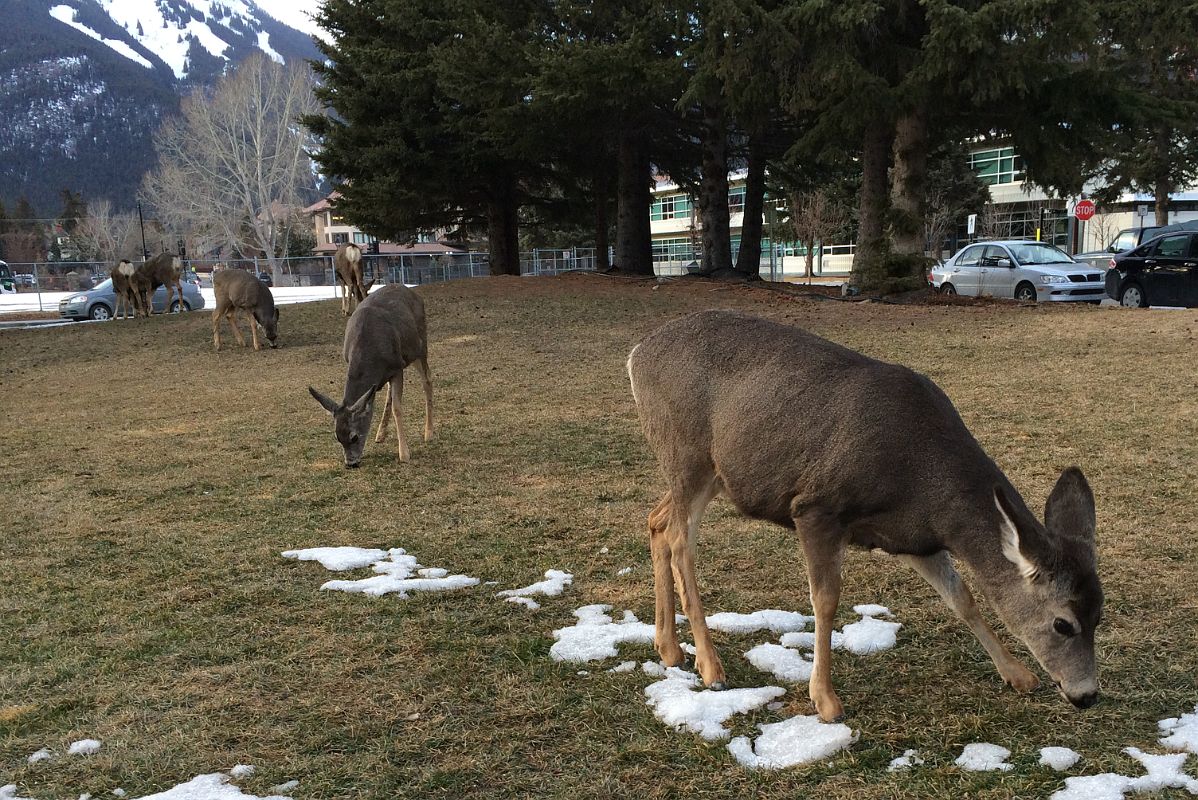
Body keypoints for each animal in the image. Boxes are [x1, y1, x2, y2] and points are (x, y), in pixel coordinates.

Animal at [306, 282, 433, 464]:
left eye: (354, 437)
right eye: (337, 437)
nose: (350, 463)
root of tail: (411, 291)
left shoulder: (398, 366)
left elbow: (397, 408)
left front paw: (404, 454)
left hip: (420, 346)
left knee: (427, 379)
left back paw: (429, 433)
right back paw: (380, 434)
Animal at [627, 308, 1102, 723]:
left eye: (1100, 615)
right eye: (1063, 624)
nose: (1087, 695)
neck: (924, 480)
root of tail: (635, 355)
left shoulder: (912, 536)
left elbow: (962, 597)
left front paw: (1017, 674)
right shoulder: (816, 507)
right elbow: (825, 600)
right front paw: (825, 699)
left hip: (709, 474)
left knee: (657, 520)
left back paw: (669, 648)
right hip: (687, 453)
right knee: (680, 542)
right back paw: (710, 665)